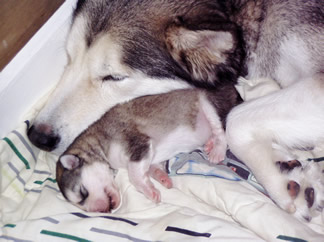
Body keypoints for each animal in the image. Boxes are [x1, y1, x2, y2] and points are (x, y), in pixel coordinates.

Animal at [55, 86, 239, 212]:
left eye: (83, 193)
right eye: (80, 204)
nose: (102, 211)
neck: (99, 143)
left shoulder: (138, 144)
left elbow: (134, 175)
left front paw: (148, 190)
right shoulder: (149, 155)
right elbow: (152, 168)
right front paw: (162, 177)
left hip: (206, 103)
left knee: (220, 130)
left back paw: (217, 150)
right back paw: (210, 143)